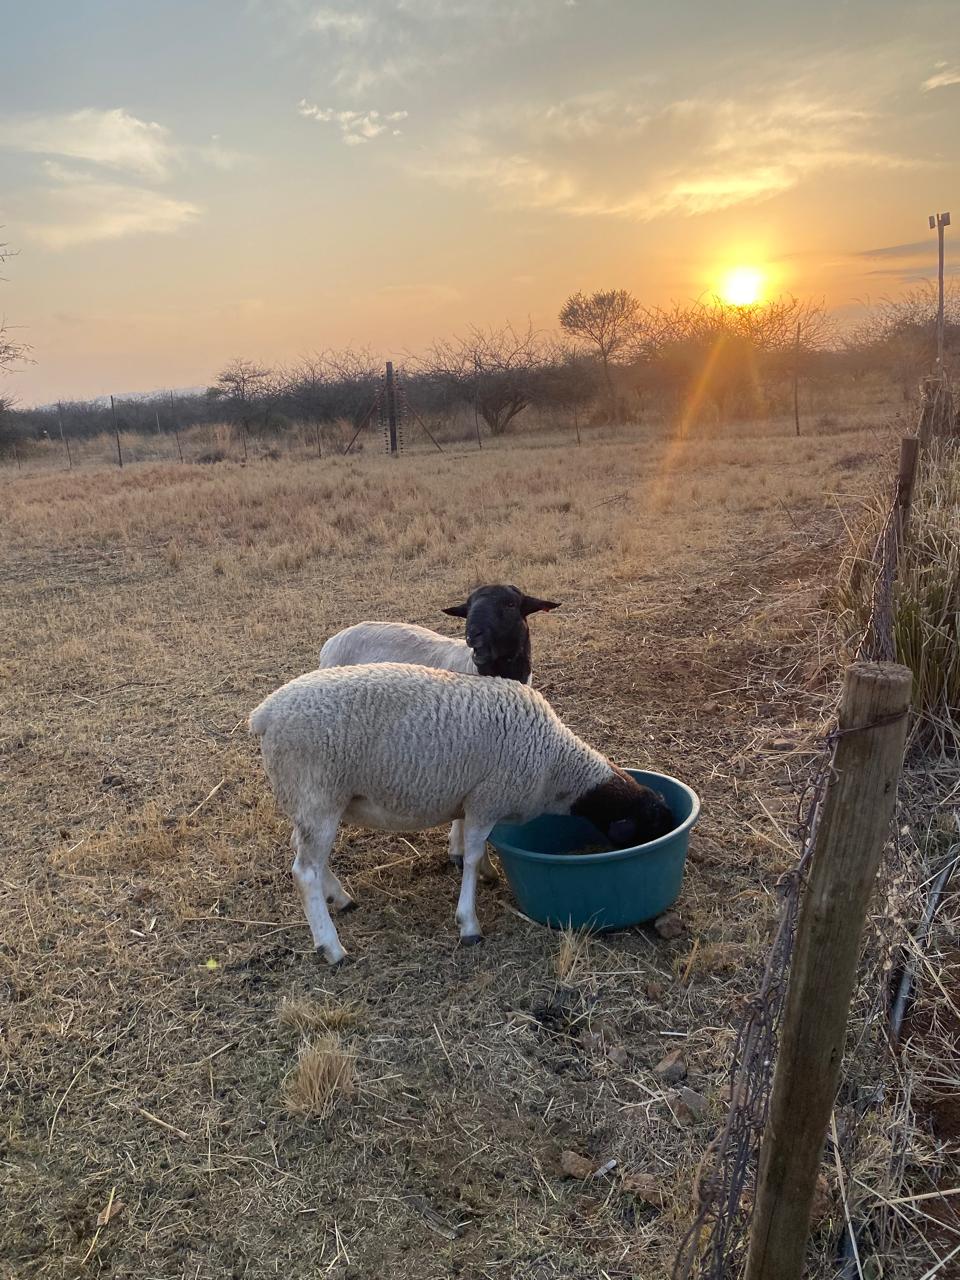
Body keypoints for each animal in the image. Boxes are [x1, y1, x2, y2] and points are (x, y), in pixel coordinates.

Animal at [249, 662, 674, 965]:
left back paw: (340, 898)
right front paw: (469, 923)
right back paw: (332, 947)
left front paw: (486, 874)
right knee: (303, 871)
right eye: (651, 826)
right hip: (317, 793)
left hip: (312, 800)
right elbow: (470, 853)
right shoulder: (488, 797)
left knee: (307, 854)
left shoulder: (472, 799)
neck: (555, 766)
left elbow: (473, 845)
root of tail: (264, 713)